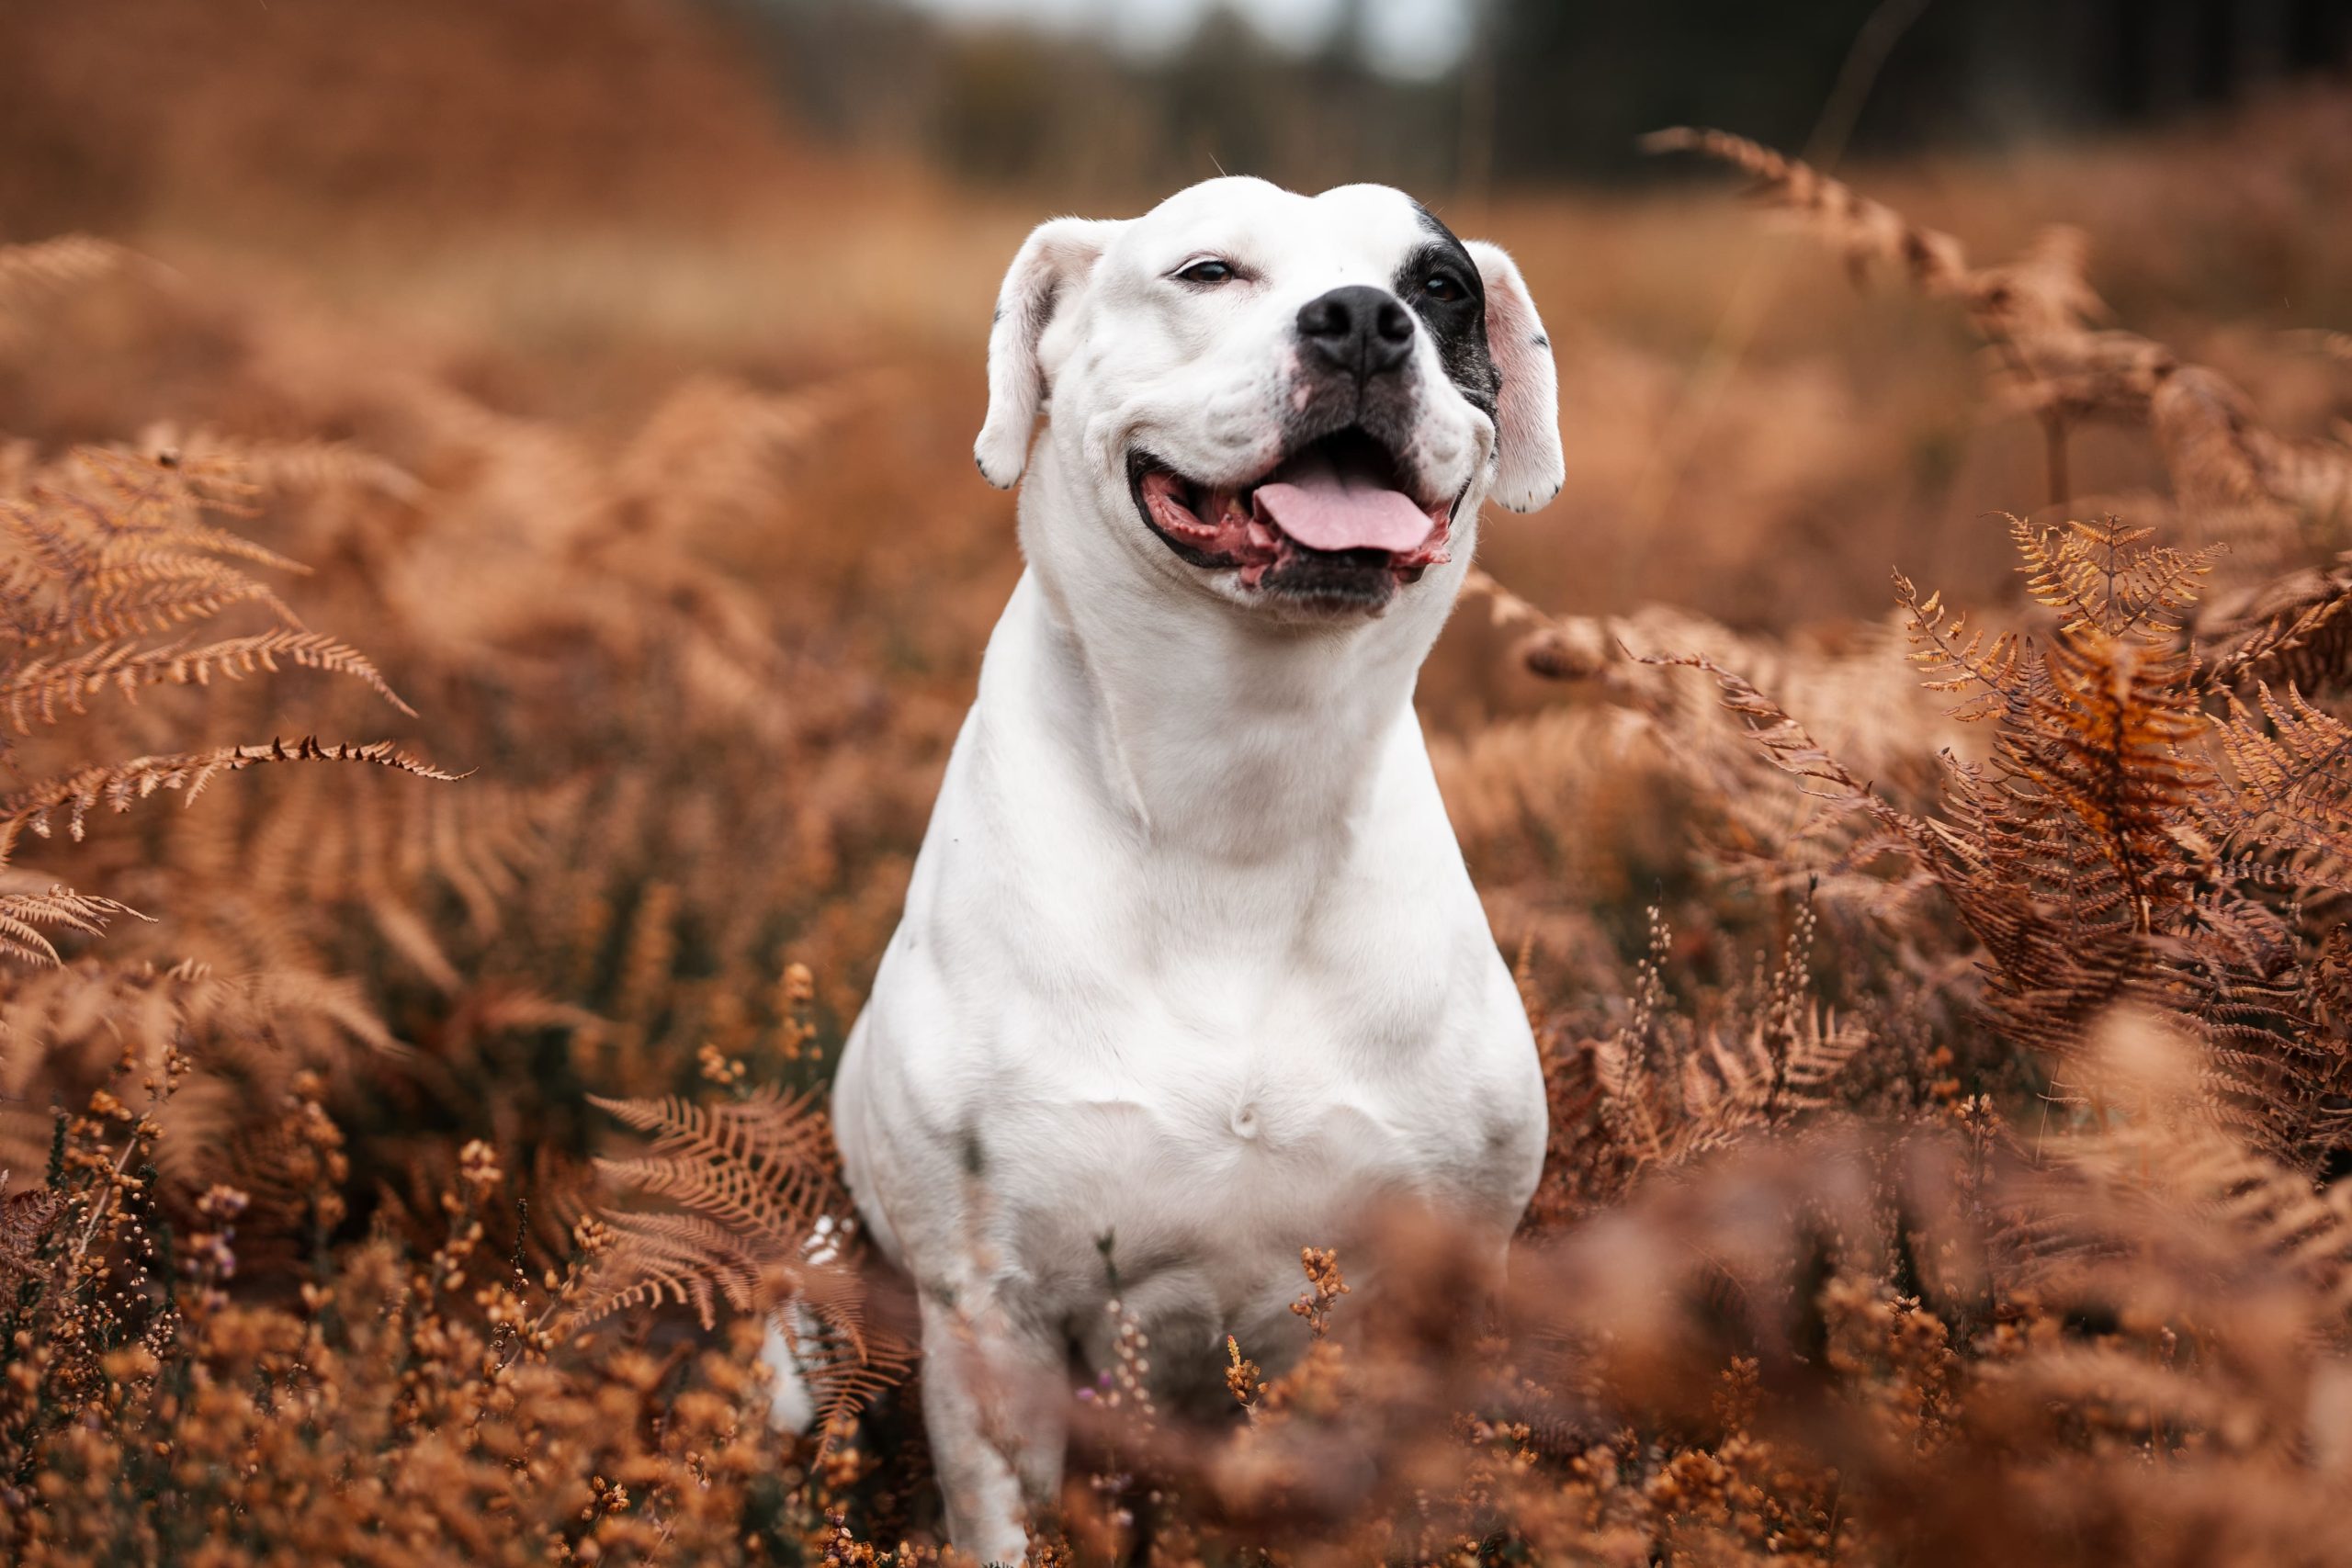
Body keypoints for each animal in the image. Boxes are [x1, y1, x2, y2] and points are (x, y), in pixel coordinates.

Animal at [823, 175, 1561, 1561]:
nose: (1364, 320)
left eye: (1440, 286)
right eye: (1208, 269)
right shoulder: (988, 1320)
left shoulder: (1436, 1303)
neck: (1238, 795)